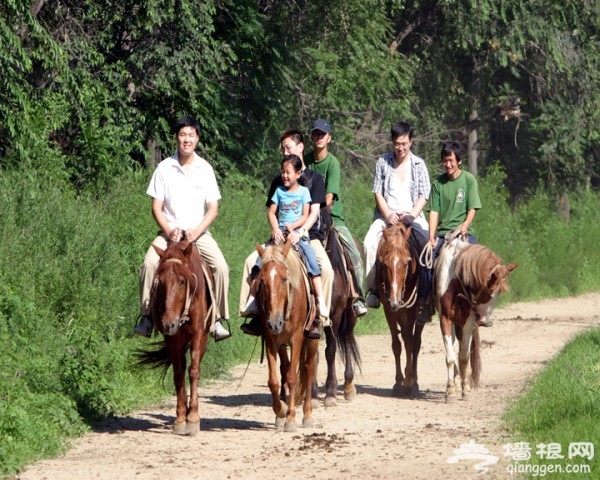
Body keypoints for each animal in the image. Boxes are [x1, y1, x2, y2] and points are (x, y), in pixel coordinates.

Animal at [137, 242, 212, 434]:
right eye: (160, 282)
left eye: (182, 281)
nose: (169, 324)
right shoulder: (172, 340)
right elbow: (178, 374)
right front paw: (180, 418)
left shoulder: (198, 335)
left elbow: (194, 371)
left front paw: (193, 418)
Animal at [254, 240, 318, 432]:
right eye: (262, 281)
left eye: (284, 279)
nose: (275, 322)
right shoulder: (271, 339)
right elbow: (274, 380)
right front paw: (280, 412)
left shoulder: (296, 338)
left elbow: (292, 377)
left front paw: (290, 419)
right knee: (286, 367)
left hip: (311, 340)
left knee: (309, 368)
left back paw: (307, 415)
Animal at [376, 223, 422, 396]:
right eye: (384, 263)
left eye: (407, 262)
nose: (395, 301)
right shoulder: (388, 309)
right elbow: (396, 345)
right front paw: (398, 382)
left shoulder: (410, 309)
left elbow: (409, 342)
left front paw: (409, 380)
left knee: (416, 342)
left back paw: (415, 382)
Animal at [434, 238, 516, 404]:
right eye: (489, 292)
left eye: (498, 295)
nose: (484, 321)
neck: (456, 281)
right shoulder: (445, 319)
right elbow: (450, 357)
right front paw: (450, 392)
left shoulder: (468, 322)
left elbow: (464, 357)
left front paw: (465, 390)